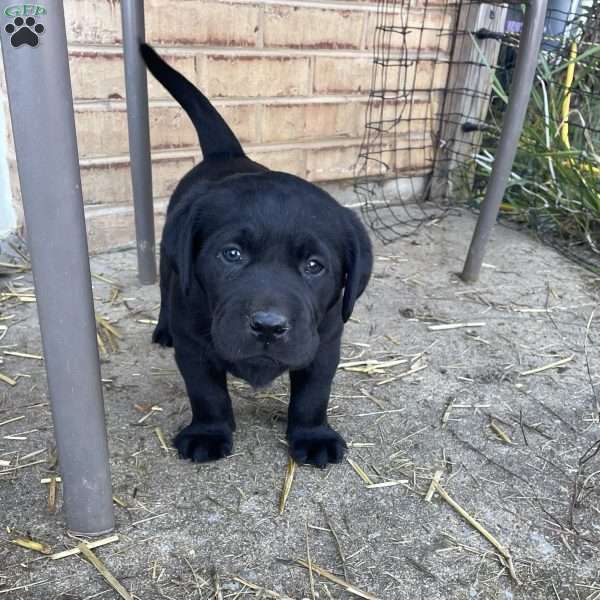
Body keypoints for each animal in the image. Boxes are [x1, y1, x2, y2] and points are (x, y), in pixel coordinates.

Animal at [141, 45, 372, 468]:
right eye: (231, 254)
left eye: (314, 266)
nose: (268, 326)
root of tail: (227, 154)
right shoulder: (194, 346)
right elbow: (207, 393)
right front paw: (208, 433)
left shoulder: (326, 340)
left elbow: (313, 394)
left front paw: (313, 436)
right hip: (170, 261)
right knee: (167, 290)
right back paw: (163, 328)